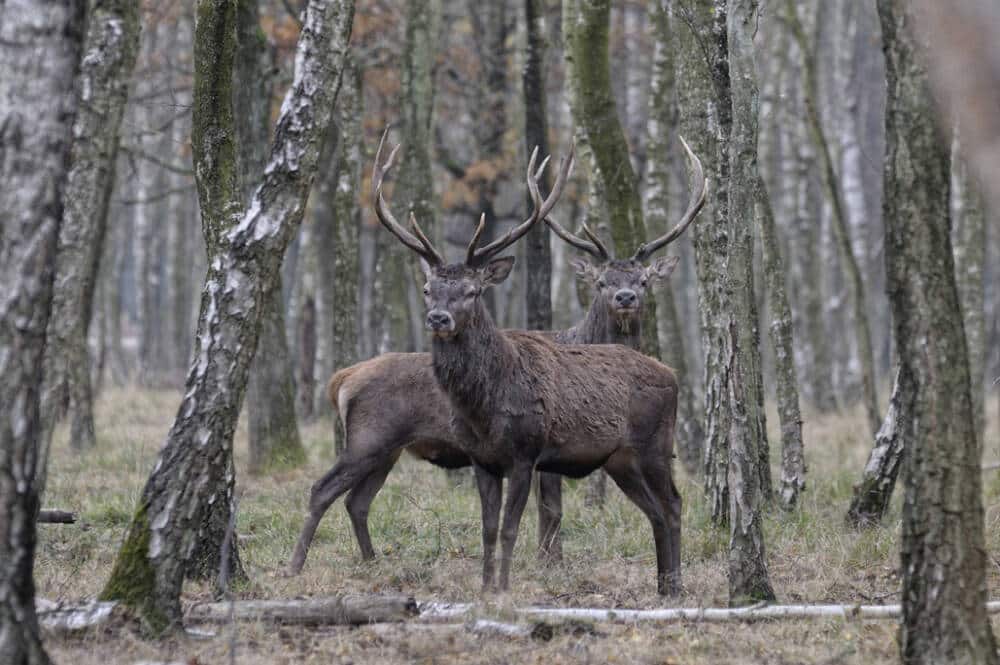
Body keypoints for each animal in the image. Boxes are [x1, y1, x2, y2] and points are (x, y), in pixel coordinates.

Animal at [284, 136, 704, 580]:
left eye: (642, 280)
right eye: (603, 282)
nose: (625, 298)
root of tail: (342, 378)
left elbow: (547, 511)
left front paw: (546, 562)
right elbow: (549, 510)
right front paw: (545, 564)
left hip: (387, 448)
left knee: (357, 500)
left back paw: (371, 561)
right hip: (369, 437)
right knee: (323, 489)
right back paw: (295, 566)